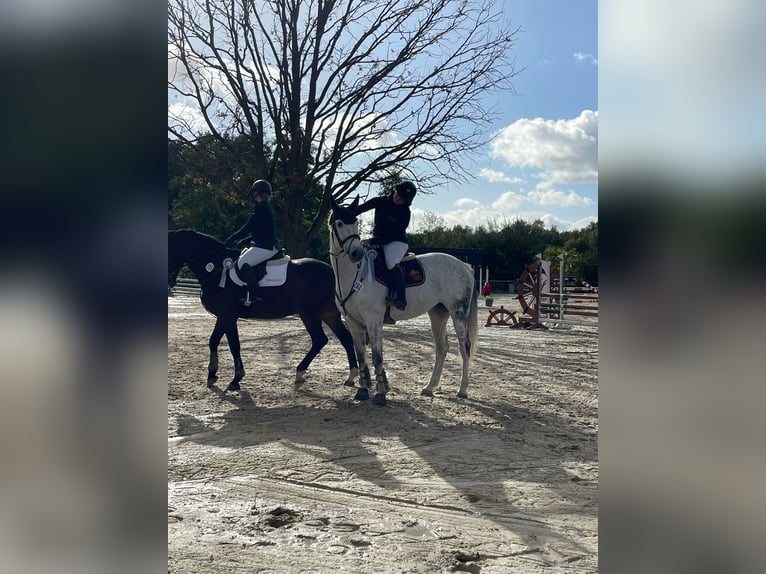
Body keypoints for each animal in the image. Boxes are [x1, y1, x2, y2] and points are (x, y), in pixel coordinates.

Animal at [169, 232, 360, 394]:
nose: (170, 282)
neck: (215, 269)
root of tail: (331, 272)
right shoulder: (227, 317)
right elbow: (223, 343)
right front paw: (220, 376)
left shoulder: (226, 316)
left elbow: (225, 343)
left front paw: (228, 378)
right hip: (329, 314)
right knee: (345, 338)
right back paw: (351, 375)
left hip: (309, 313)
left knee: (320, 340)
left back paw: (299, 373)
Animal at [330, 196, 480, 408]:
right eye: (340, 223)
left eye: (356, 222)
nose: (357, 253)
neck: (353, 273)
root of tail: (464, 265)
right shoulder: (353, 323)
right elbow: (361, 358)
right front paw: (363, 390)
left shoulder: (373, 321)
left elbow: (377, 357)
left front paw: (381, 394)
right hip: (438, 314)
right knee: (442, 348)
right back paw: (429, 387)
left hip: (458, 313)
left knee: (464, 346)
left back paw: (463, 390)